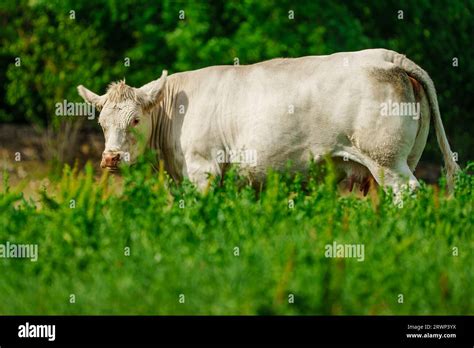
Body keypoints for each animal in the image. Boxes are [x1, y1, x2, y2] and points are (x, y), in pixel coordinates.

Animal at [78, 48, 460, 196]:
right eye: (101, 123)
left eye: (135, 120)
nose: (110, 158)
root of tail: (388, 57)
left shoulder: (203, 169)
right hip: (402, 159)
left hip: (387, 160)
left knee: (408, 193)